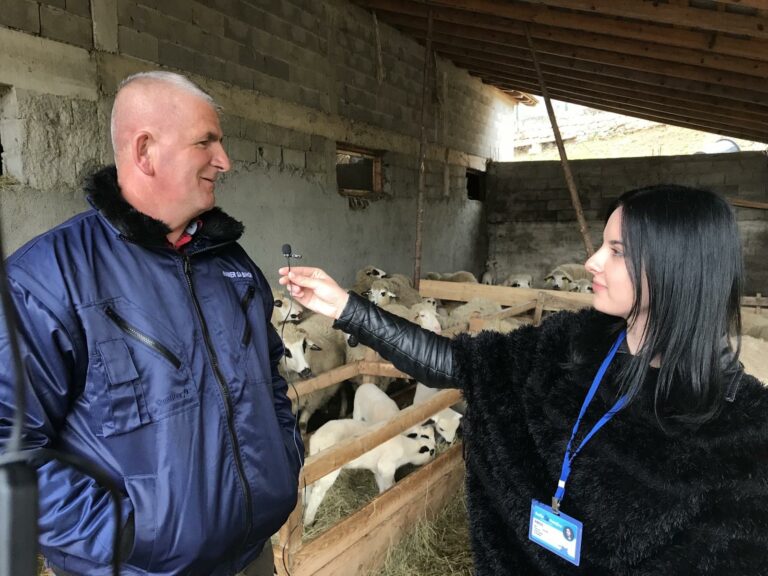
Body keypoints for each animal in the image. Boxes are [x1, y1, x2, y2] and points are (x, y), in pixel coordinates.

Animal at [304, 418, 436, 528]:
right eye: (432, 451)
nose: (434, 457)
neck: (406, 449)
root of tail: (317, 439)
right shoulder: (386, 466)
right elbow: (390, 484)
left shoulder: (378, 470)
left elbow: (382, 487)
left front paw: (382, 498)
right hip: (329, 470)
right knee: (318, 491)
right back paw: (309, 520)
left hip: (312, 467)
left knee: (309, 486)